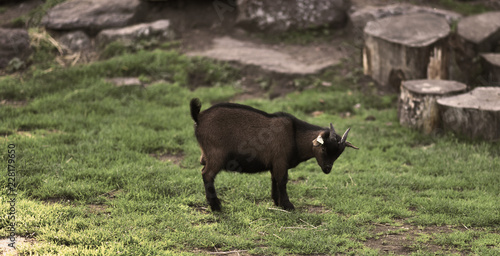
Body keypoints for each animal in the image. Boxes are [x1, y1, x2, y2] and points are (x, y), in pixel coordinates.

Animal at [189, 97, 358, 211]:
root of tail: (198, 117)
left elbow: (274, 180)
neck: (294, 134)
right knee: (207, 174)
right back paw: (216, 206)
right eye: (323, 149)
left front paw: (277, 202)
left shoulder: (274, 163)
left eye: (339, 153)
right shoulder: (280, 161)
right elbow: (282, 181)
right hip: (217, 155)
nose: (327, 169)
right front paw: (288, 205)